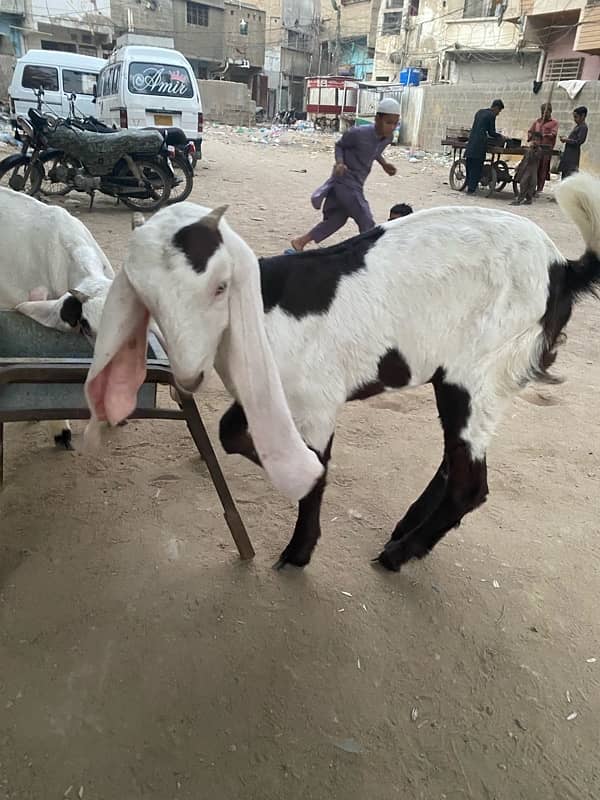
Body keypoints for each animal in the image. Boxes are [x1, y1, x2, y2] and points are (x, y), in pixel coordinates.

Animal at [83, 173, 600, 572]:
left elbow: (311, 466)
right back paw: (406, 528)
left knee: (469, 482)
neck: (263, 310)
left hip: (480, 368)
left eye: (219, 287)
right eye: (145, 295)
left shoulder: (316, 401)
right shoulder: (270, 393)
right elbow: (231, 431)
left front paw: (299, 549)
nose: (188, 377)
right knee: (455, 458)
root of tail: (564, 268)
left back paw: (398, 553)